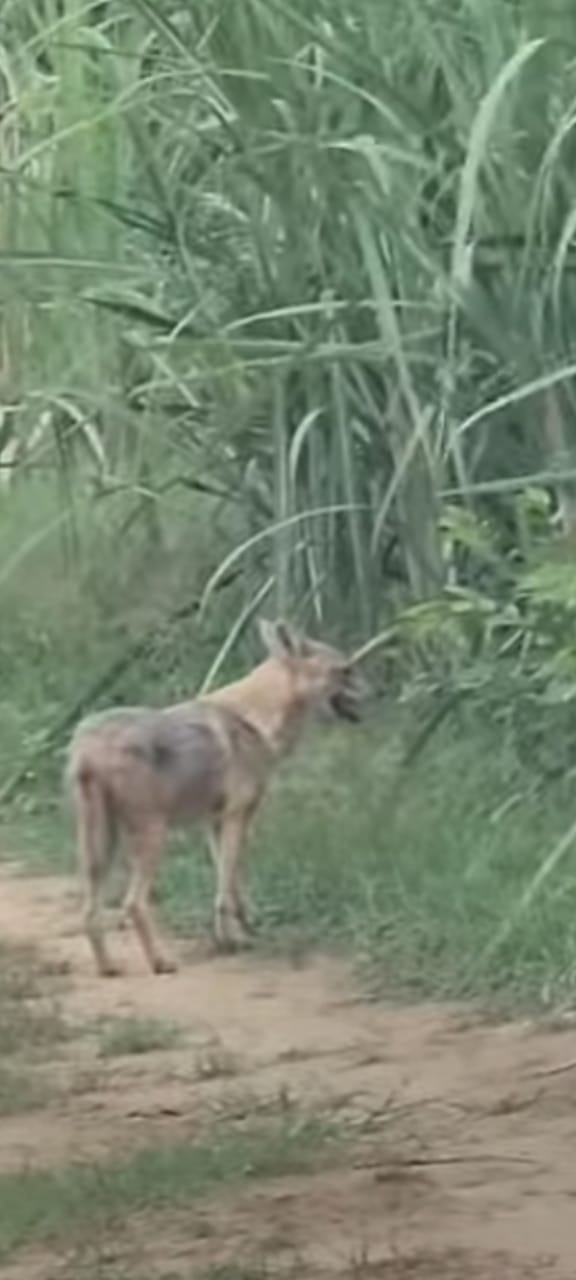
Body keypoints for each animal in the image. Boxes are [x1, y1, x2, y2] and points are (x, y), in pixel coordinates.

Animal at [67, 619, 364, 976]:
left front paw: (242, 930)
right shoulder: (237, 816)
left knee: (89, 913)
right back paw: (161, 962)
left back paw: (108, 967)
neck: (256, 720)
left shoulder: (215, 823)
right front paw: (231, 940)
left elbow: (231, 886)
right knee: (132, 904)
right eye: (345, 670)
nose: (376, 691)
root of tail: (89, 747)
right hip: (152, 840)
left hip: (99, 851)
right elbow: (225, 890)